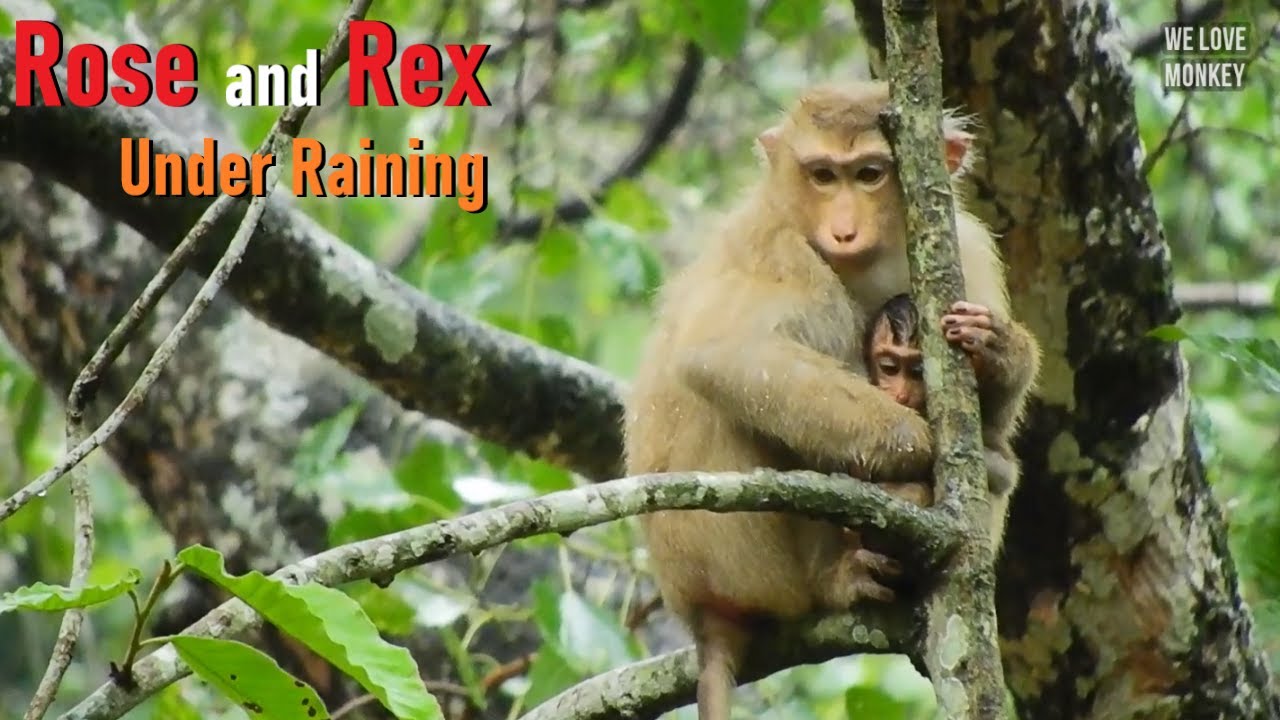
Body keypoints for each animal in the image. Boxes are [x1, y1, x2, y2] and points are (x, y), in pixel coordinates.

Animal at [623, 80, 1040, 720]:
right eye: (822, 175)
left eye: (869, 174)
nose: (844, 232)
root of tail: (697, 612)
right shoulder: (777, 249)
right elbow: (723, 354)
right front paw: (923, 445)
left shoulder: (963, 251)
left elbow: (991, 422)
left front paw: (1001, 351)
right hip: (749, 566)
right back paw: (843, 574)